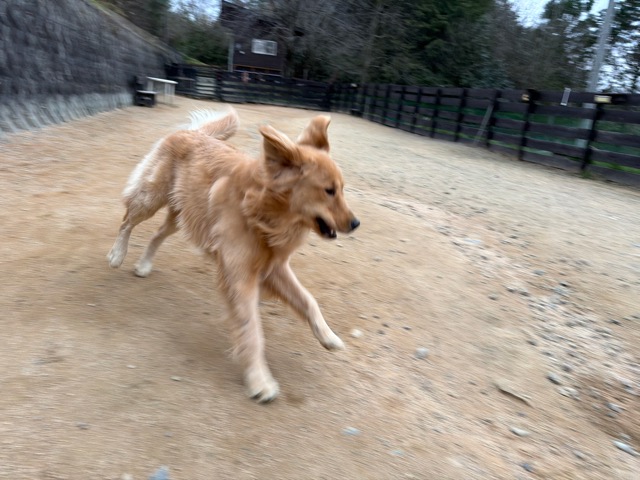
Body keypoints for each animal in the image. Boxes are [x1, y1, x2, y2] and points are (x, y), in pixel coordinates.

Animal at [107, 107, 359, 402]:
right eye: (328, 190)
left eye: (342, 188)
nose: (356, 223)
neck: (263, 211)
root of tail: (191, 133)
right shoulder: (240, 276)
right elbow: (252, 330)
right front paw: (260, 381)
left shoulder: (274, 268)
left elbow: (309, 301)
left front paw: (329, 337)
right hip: (151, 197)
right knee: (127, 220)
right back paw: (117, 255)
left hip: (182, 217)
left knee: (156, 234)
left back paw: (144, 265)